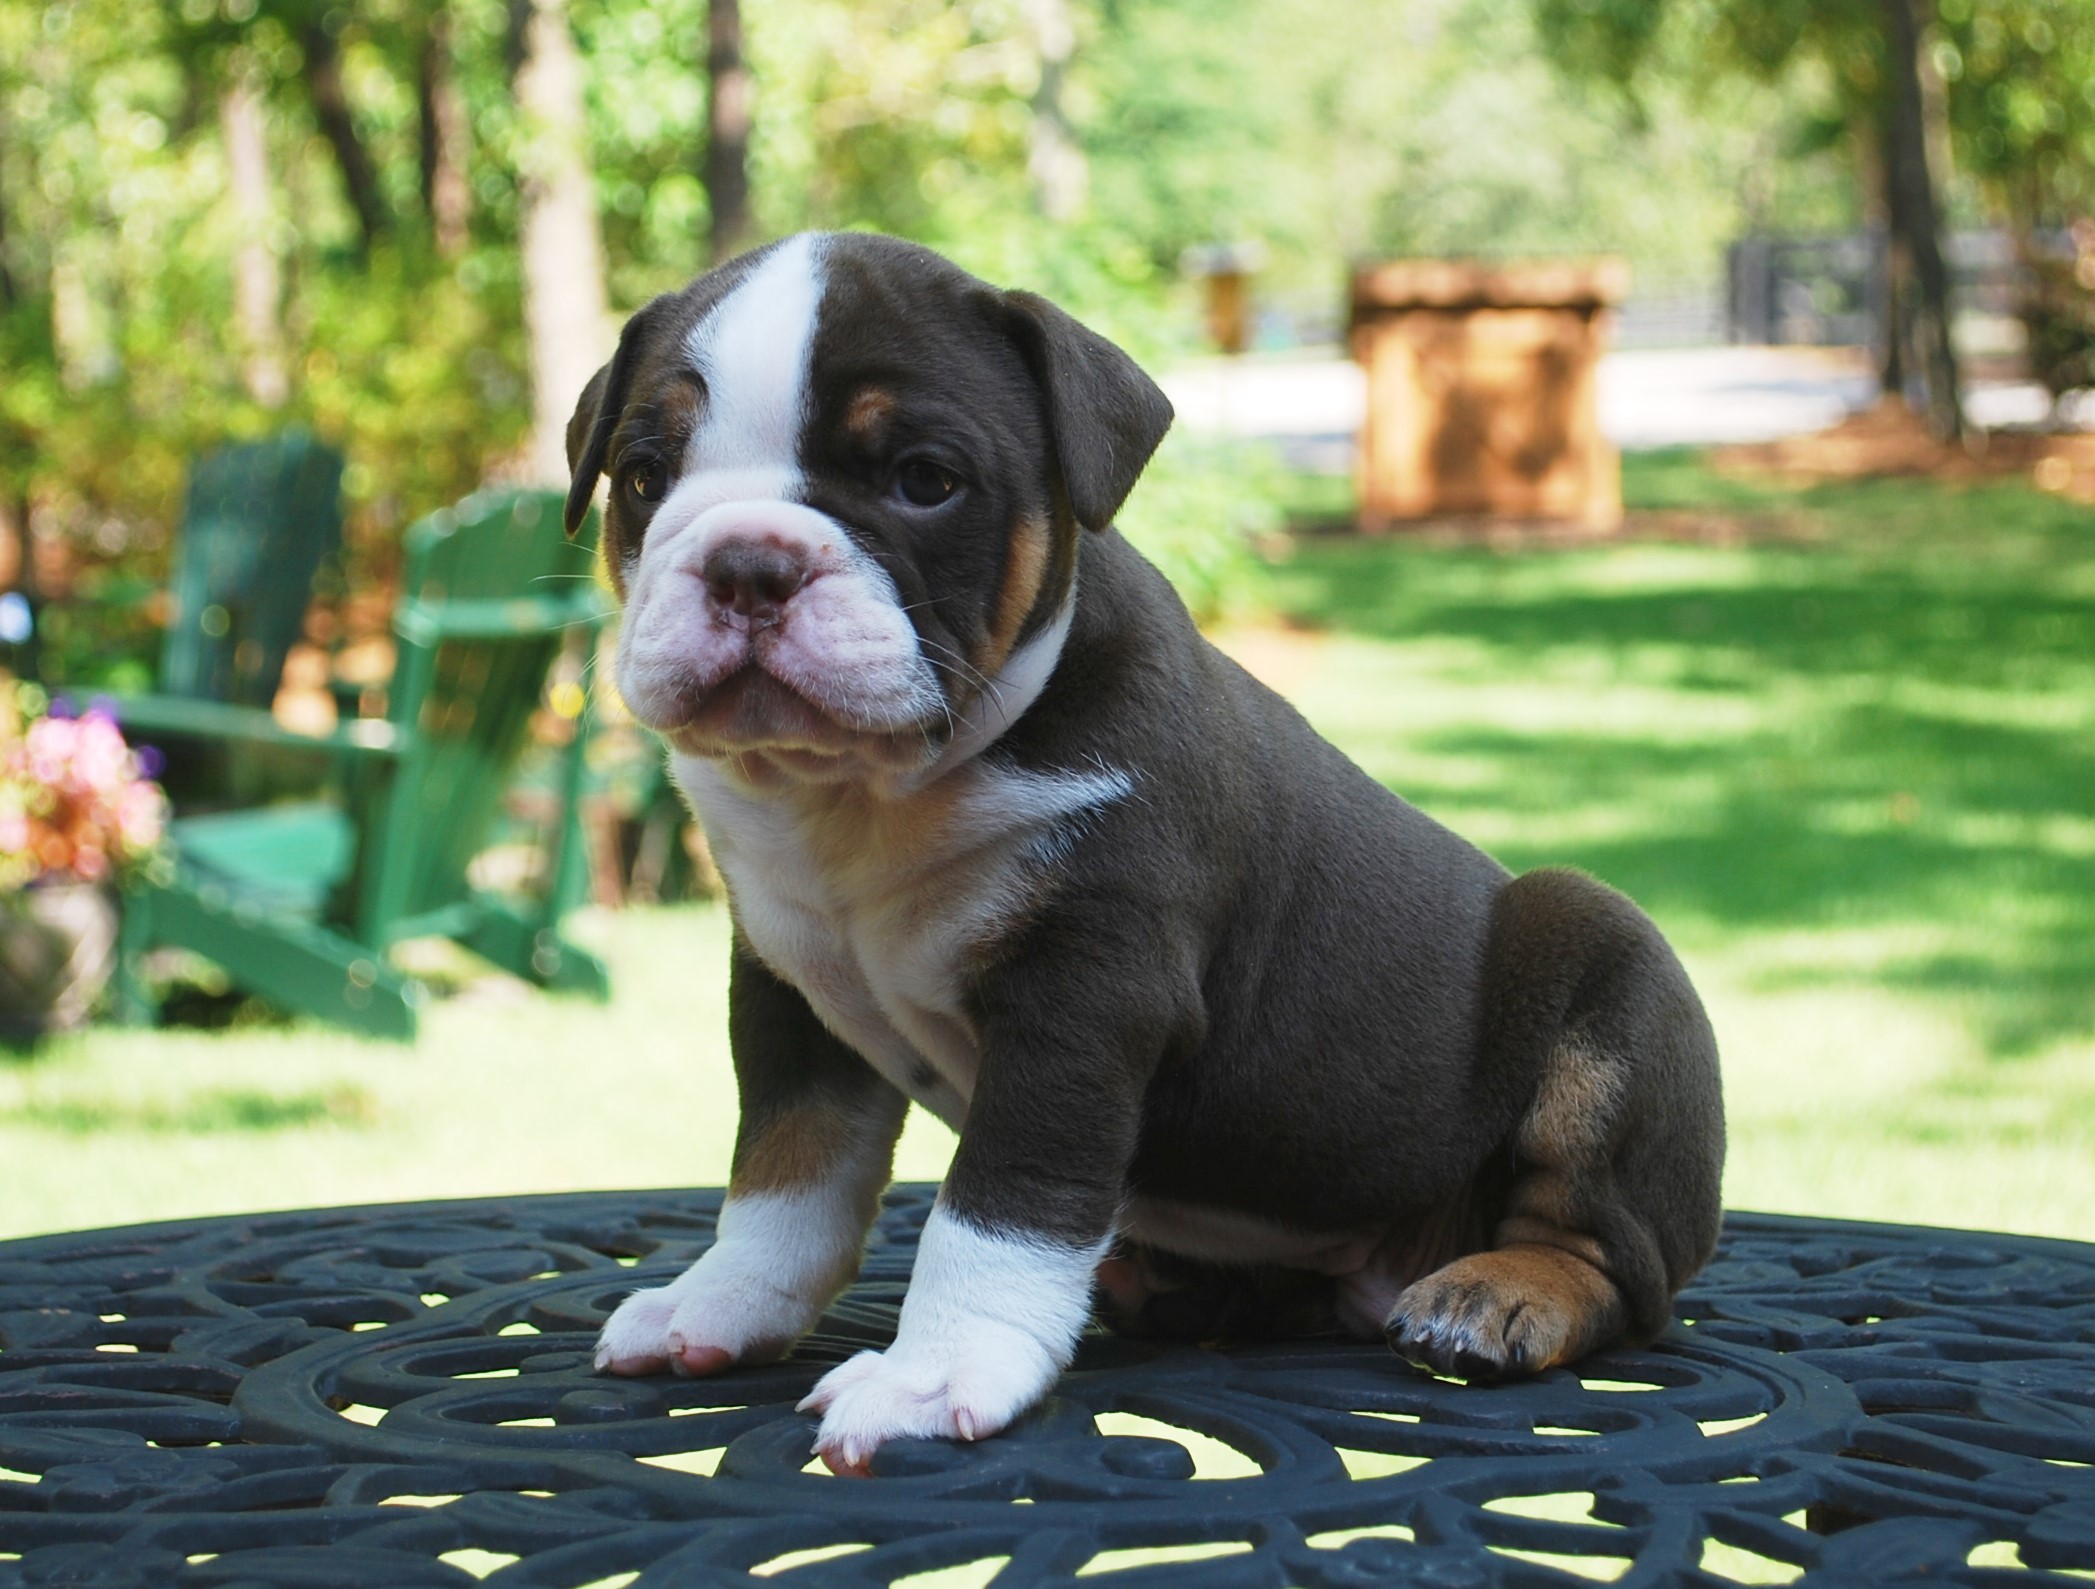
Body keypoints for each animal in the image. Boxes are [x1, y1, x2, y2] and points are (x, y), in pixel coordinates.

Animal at [565, 233, 1726, 1484]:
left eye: (924, 478)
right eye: (644, 476)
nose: (747, 561)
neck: (862, 795)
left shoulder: (1083, 993)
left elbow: (1002, 1202)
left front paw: (935, 1374)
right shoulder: (787, 989)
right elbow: (785, 1169)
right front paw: (721, 1301)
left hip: (1608, 966)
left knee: (1613, 1259)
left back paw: (1494, 1293)